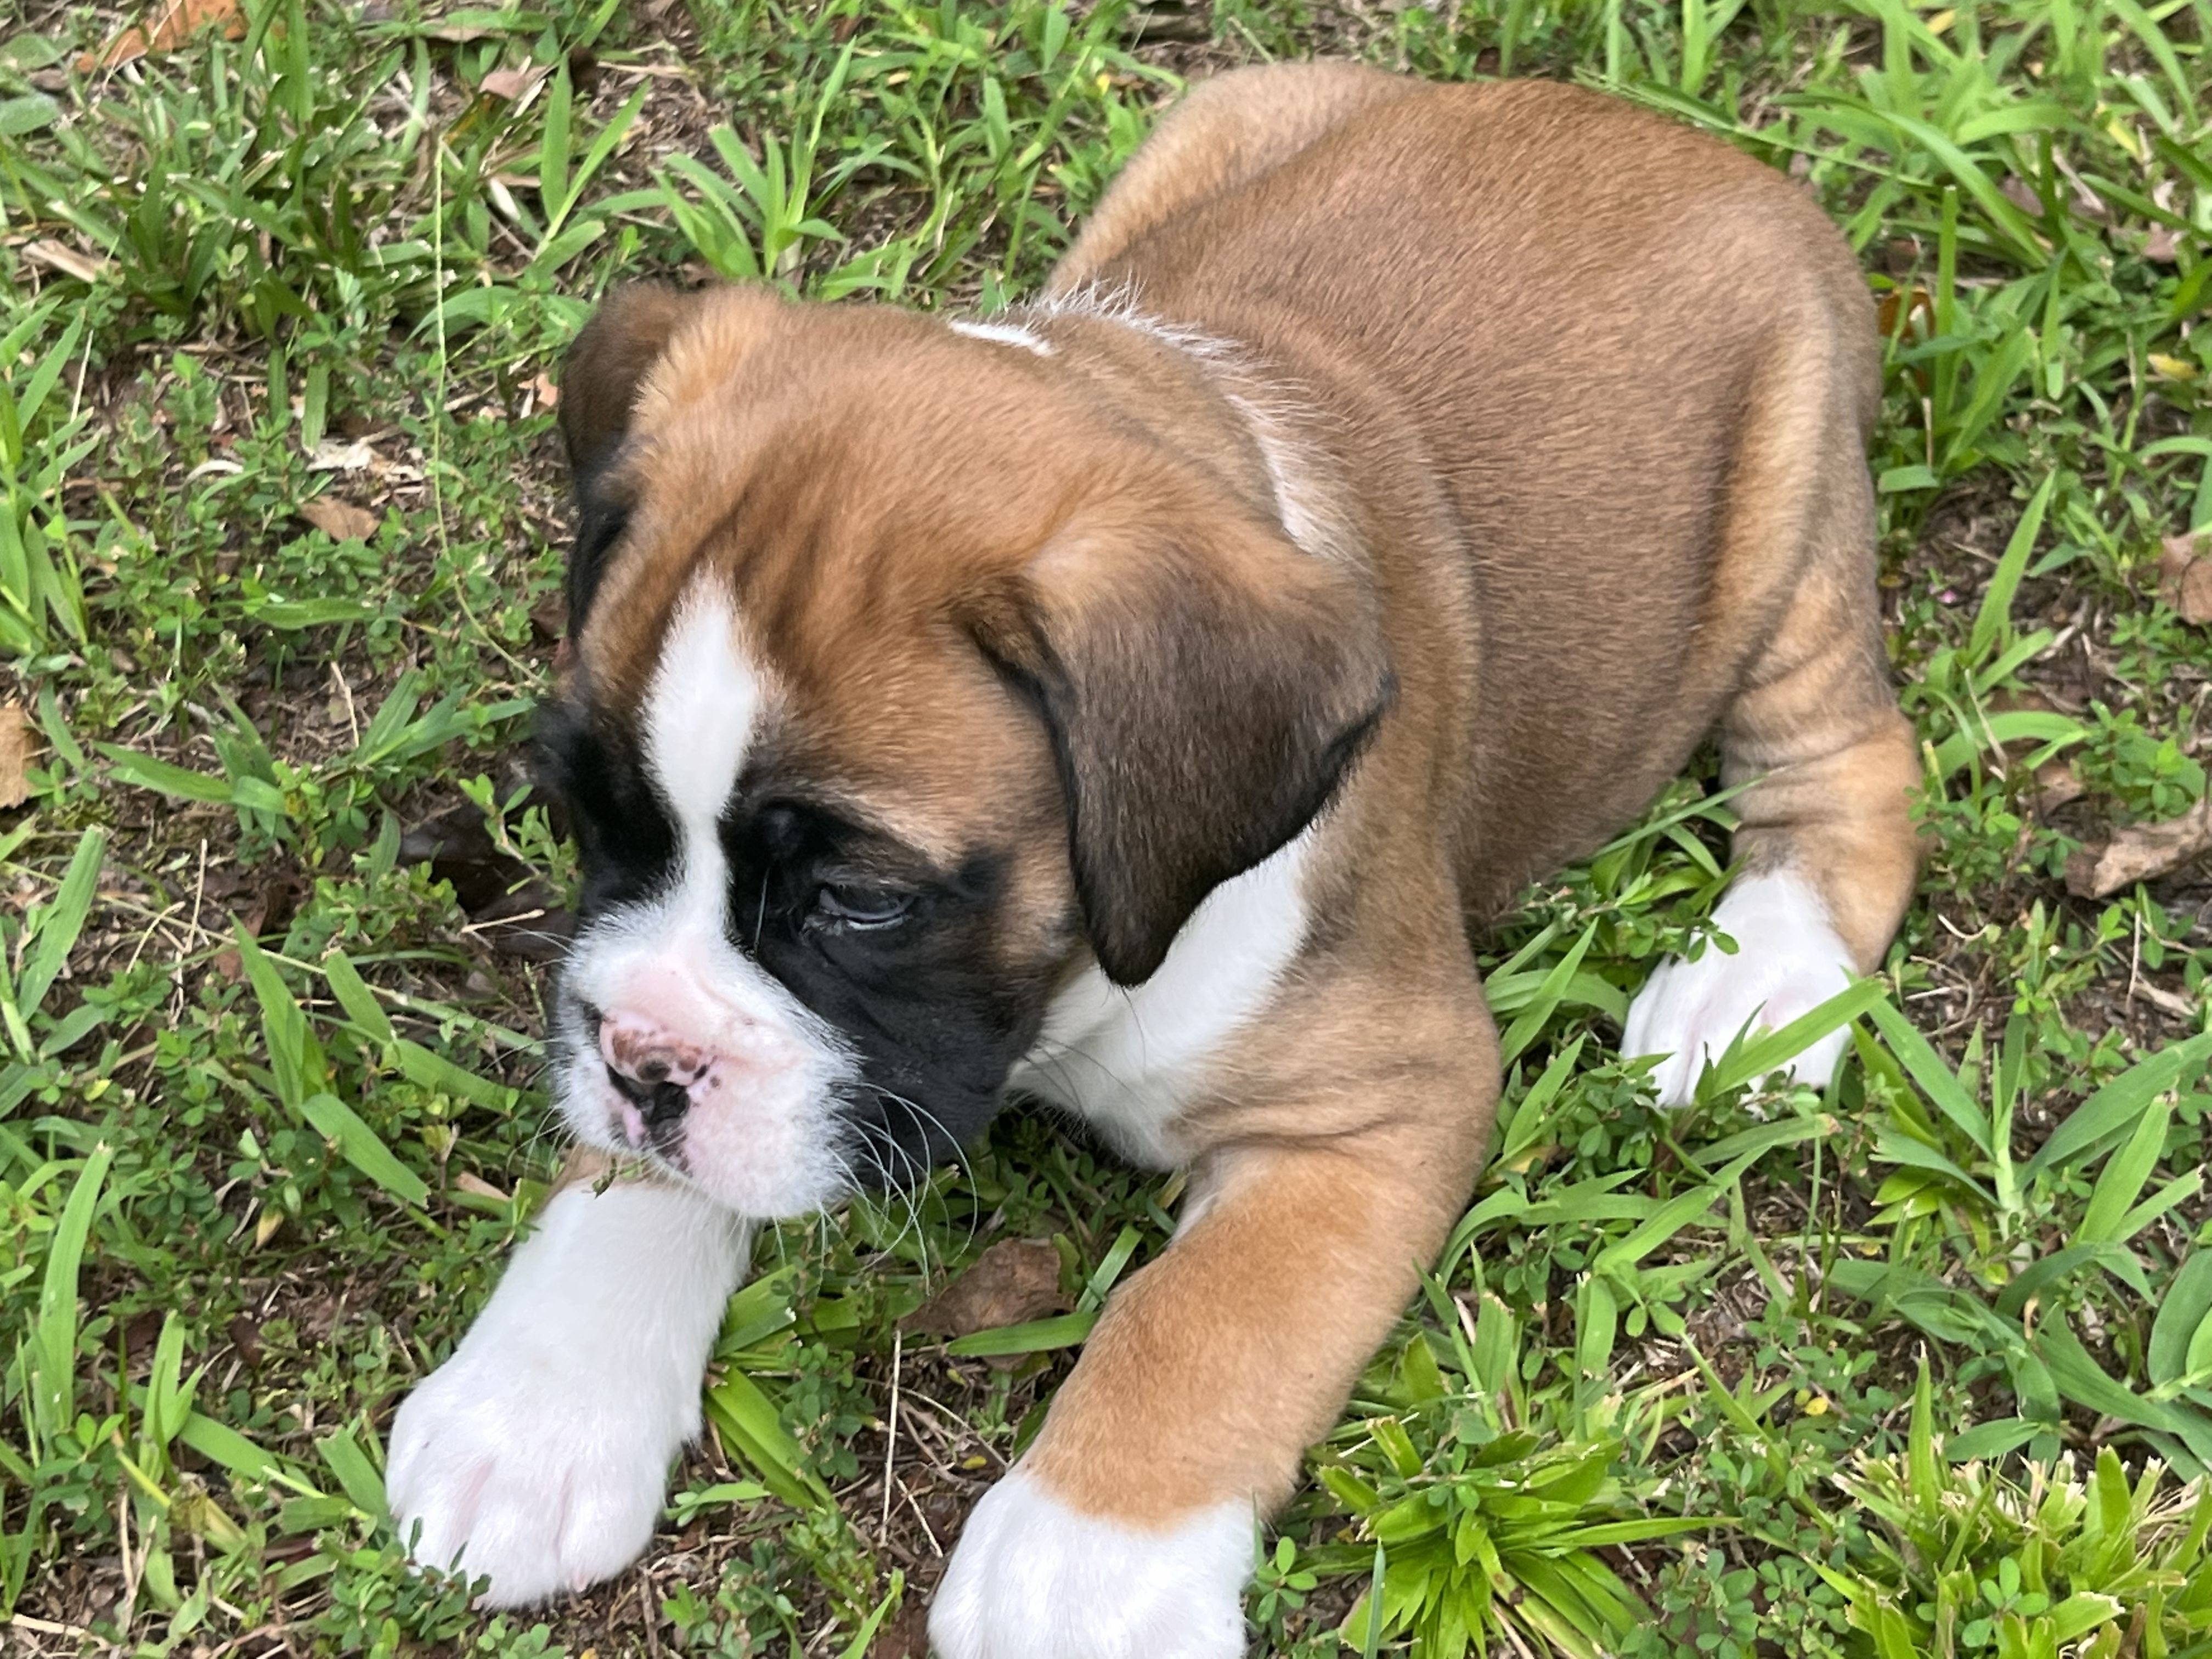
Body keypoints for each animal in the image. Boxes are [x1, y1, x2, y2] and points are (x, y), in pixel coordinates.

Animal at [393, 65, 1920, 1659]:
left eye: (864, 904)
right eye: (582, 815)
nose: (642, 1065)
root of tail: (1702, 156)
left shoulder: (1386, 1104)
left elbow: (1206, 1321)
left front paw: (1082, 1569)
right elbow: (641, 1160)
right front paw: (541, 1407)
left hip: (1786, 539)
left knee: (1853, 762)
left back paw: (1754, 991)